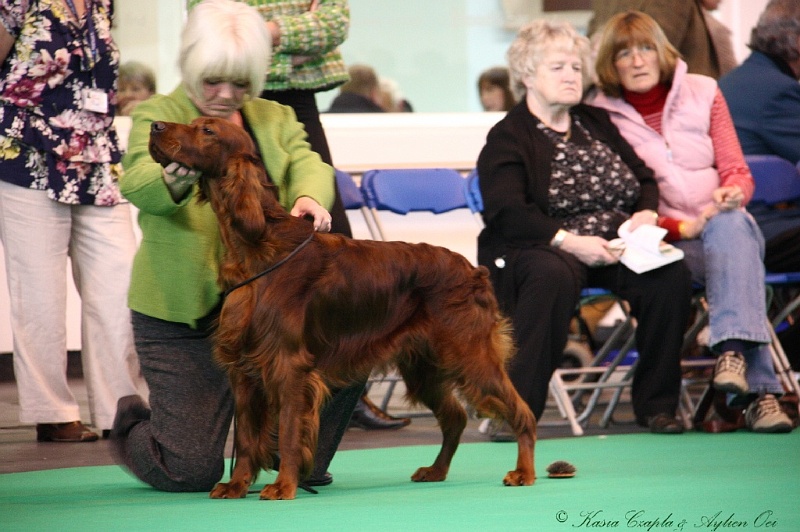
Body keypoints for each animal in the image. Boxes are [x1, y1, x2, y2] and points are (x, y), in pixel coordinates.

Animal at [150, 117, 536, 502]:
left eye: (208, 131)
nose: (154, 126)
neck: (259, 248)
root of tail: (474, 270)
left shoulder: (288, 364)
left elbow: (288, 431)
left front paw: (284, 485)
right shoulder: (243, 368)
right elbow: (245, 437)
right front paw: (236, 485)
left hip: (470, 355)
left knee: (523, 412)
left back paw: (524, 472)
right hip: (425, 366)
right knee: (456, 417)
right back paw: (436, 470)